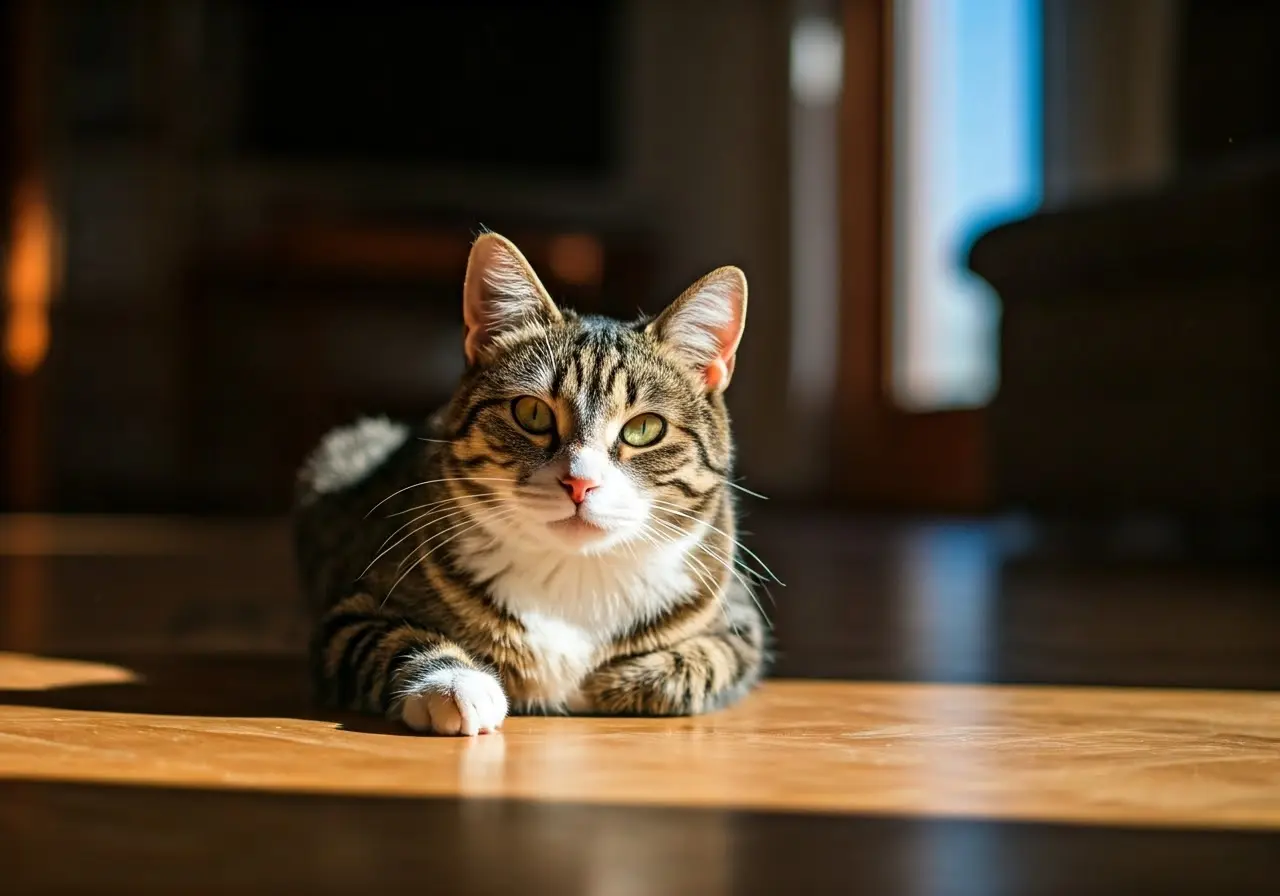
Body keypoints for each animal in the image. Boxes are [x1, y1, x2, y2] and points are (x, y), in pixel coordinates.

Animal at [293, 230, 768, 737]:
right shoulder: (351, 612)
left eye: (644, 428)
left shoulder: (737, 620)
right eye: (532, 413)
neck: (574, 575)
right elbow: (388, 639)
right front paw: (456, 683)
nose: (580, 483)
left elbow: (705, 661)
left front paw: (608, 682)